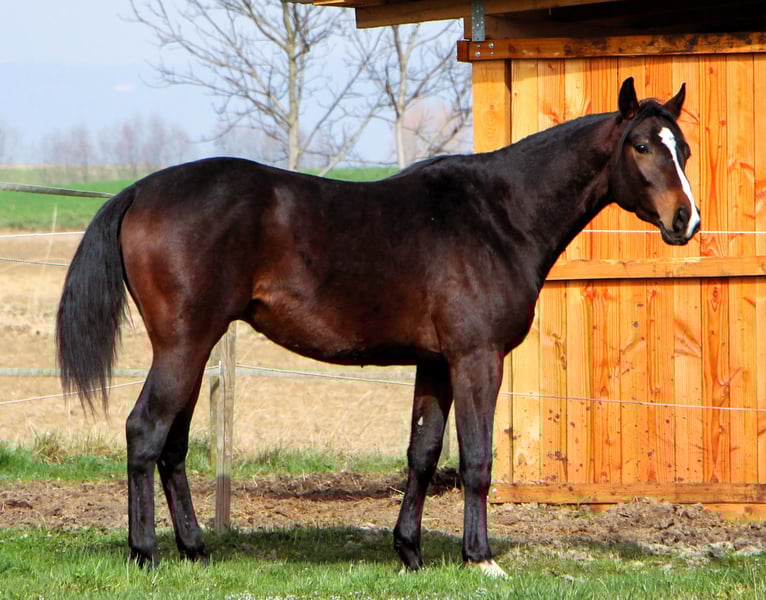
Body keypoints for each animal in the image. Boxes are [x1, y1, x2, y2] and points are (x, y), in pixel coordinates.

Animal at [56, 77, 699, 576]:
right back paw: (145, 553)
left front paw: (409, 552)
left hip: (194, 347)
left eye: (684, 150)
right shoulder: (476, 357)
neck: (498, 216)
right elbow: (477, 458)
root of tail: (141, 189)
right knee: (145, 432)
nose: (685, 220)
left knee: (173, 445)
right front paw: (480, 557)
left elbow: (423, 452)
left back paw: (195, 550)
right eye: (642, 145)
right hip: (183, 345)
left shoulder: (435, 362)